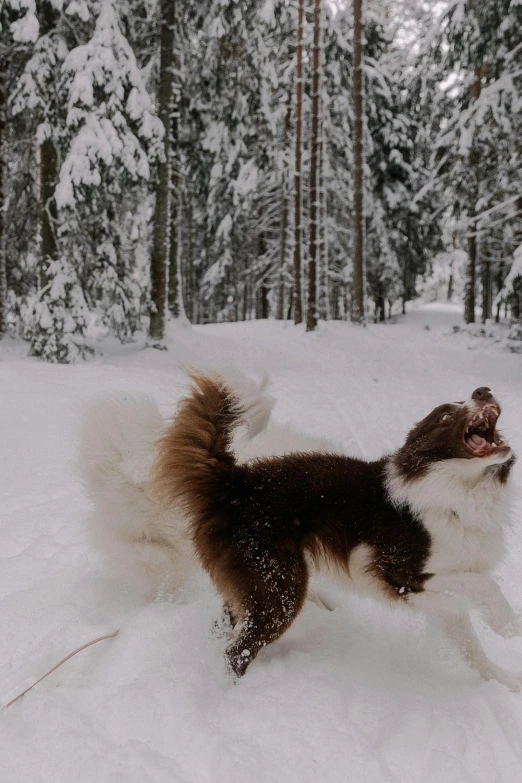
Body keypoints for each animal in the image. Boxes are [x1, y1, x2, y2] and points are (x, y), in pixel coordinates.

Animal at [144, 374, 516, 688]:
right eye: (444, 416)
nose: (483, 391)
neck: (457, 490)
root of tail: (236, 484)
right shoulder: (400, 572)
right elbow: (483, 584)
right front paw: (508, 623)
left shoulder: (439, 596)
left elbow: (471, 644)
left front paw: (506, 681)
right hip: (279, 586)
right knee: (237, 651)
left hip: (253, 585)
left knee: (228, 629)